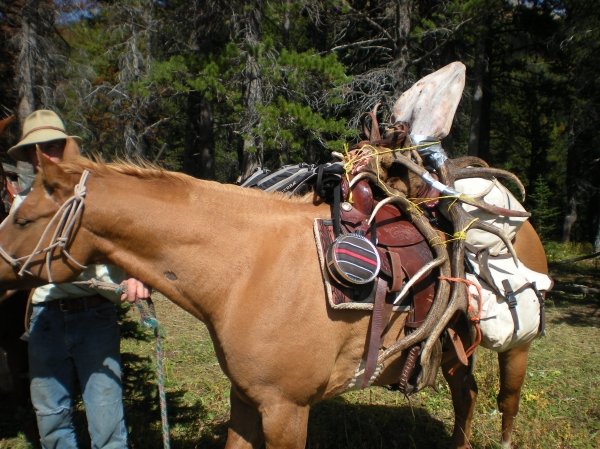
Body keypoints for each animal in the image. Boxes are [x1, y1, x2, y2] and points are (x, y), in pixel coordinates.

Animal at [0, 149, 548, 446]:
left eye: (24, 218)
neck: (245, 270)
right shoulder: (248, 399)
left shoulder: (287, 410)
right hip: (452, 347)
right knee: (466, 396)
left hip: (518, 348)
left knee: (505, 402)